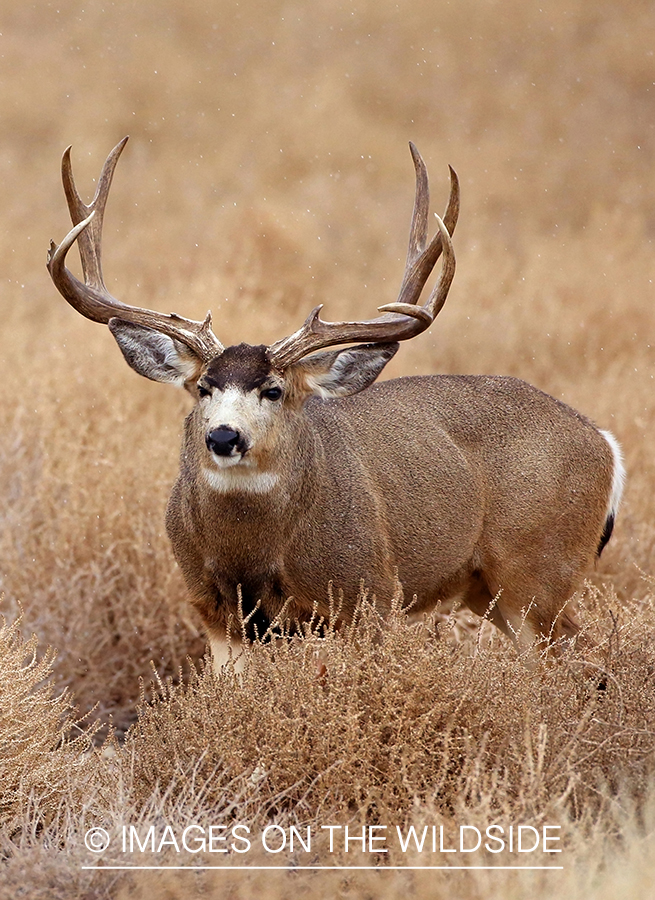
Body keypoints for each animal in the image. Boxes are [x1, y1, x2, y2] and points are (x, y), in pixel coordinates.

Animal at [47, 137, 625, 670]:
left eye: (274, 390)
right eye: (203, 387)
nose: (224, 436)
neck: (254, 558)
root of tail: (605, 443)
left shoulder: (368, 594)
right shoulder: (213, 610)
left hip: (537, 568)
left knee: (584, 656)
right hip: (489, 589)